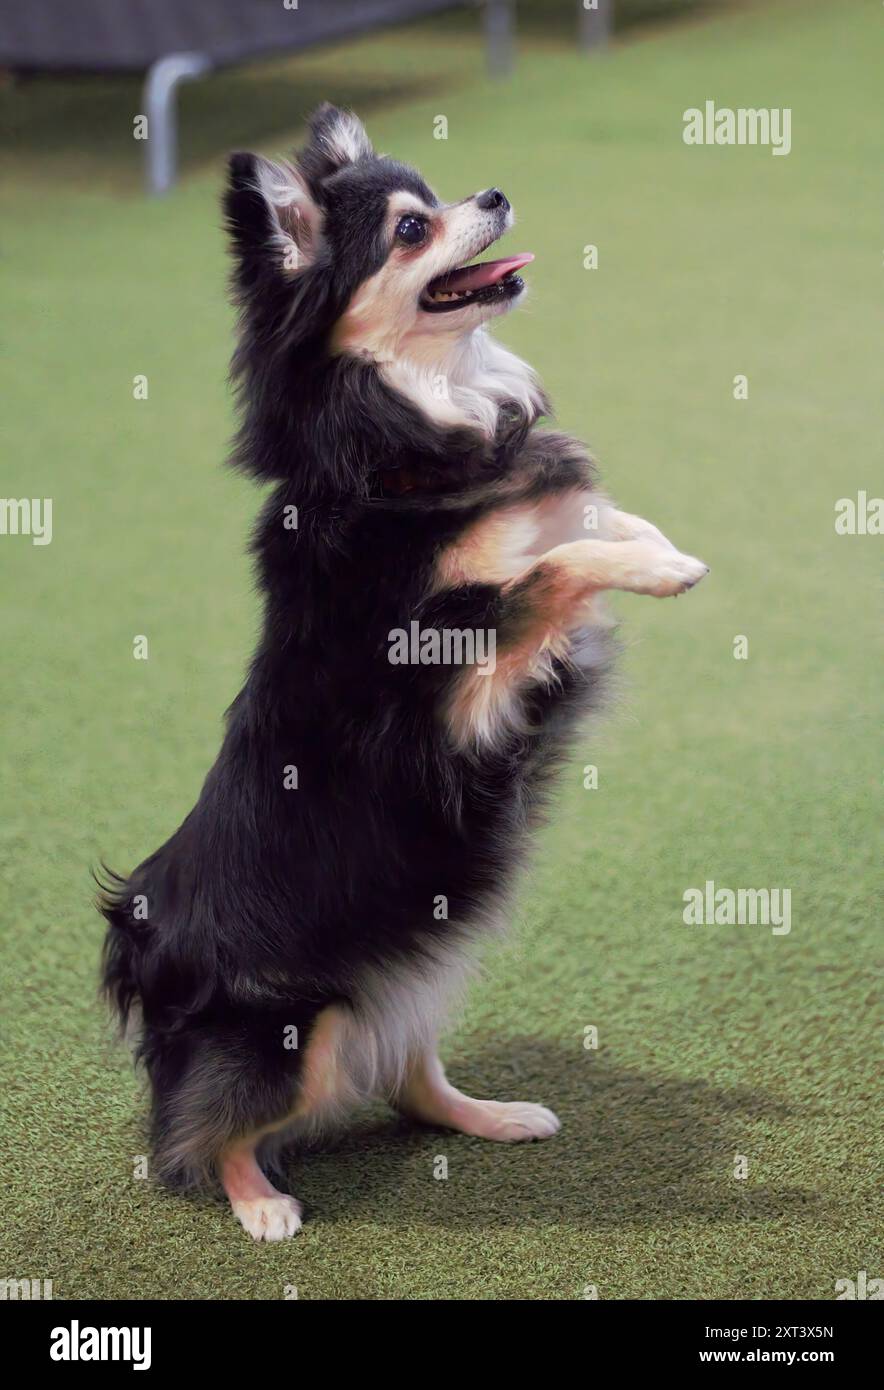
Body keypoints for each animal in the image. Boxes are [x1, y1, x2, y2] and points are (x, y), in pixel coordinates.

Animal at [100, 102, 708, 1245]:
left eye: (439, 193)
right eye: (412, 230)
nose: (495, 193)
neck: (406, 435)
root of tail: (146, 944)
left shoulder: (533, 527)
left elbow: (589, 519)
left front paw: (658, 546)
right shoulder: (460, 672)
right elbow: (558, 563)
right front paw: (661, 571)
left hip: (416, 967)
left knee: (410, 1083)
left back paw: (494, 1117)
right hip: (308, 1025)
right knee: (208, 1136)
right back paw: (260, 1204)